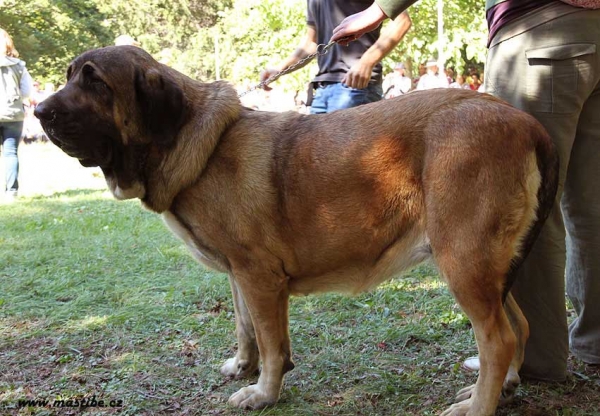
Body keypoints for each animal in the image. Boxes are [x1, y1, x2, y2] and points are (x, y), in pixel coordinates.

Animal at [34, 45, 556, 416]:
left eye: (95, 82)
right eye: (69, 75)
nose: (39, 112)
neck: (192, 144)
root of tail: (525, 122)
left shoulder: (260, 278)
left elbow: (270, 341)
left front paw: (264, 390)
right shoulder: (239, 276)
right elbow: (245, 327)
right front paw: (243, 367)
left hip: (463, 263)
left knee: (498, 340)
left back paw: (479, 405)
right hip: (486, 270)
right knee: (520, 326)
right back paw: (502, 387)